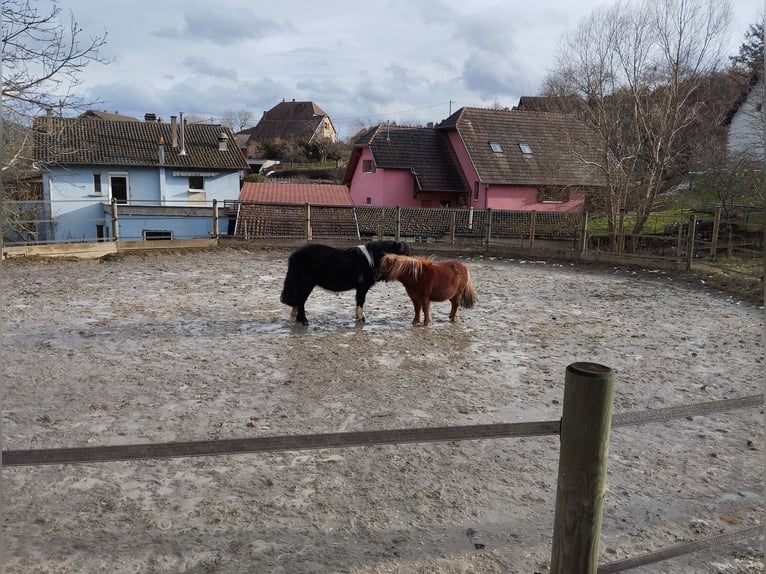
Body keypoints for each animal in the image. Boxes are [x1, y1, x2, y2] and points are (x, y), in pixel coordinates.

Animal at [280, 240, 410, 325]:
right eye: (404, 254)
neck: (371, 260)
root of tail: (295, 255)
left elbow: (358, 301)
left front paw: (359, 317)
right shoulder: (362, 287)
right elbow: (361, 301)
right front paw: (362, 318)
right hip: (306, 284)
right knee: (301, 301)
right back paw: (304, 321)